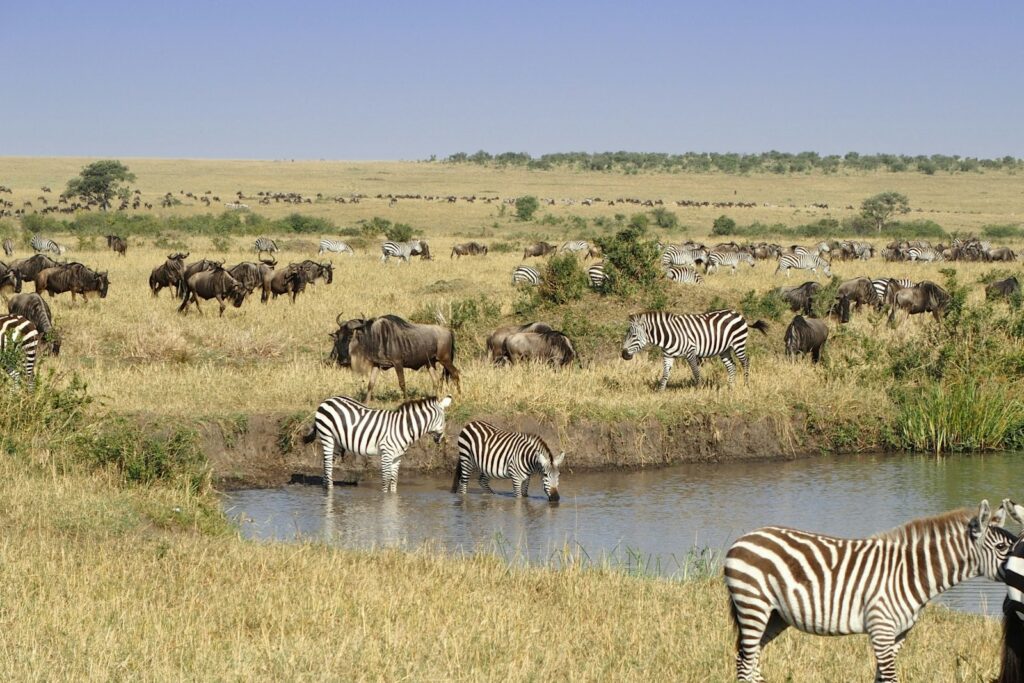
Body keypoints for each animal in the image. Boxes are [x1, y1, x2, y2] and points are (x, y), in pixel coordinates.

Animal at [302, 395, 452, 492]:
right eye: (444, 419)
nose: (440, 439)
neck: (403, 427)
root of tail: (327, 400)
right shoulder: (387, 454)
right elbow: (386, 480)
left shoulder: (397, 457)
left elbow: (394, 480)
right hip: (327, 436)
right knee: (328, 465)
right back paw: (330, 491)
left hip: (337, 442)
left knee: (327, 464)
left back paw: (325, 486)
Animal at [620, 310, 769, 390]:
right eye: (627, 335)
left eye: (633, 336)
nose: (623, 354)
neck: (669, 335)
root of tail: (738, 314)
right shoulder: (668, 356)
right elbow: (665, 374)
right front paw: (660, 391)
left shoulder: (690, 352)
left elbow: (696, 372)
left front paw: (699, 389)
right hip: (725, 350)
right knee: (731, 366)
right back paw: (730, 387)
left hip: (738, 344)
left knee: (745, 362)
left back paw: (746, 385)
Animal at [724, 501, 1014, 683]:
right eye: (1002, 547)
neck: (910, 572)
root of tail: (743, 538)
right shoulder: (881, 629)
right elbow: (890, 677)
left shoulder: (898, 634)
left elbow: (881, 678)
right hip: (753, 606)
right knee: (745, 663)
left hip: (774, 616)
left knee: (749, 658)